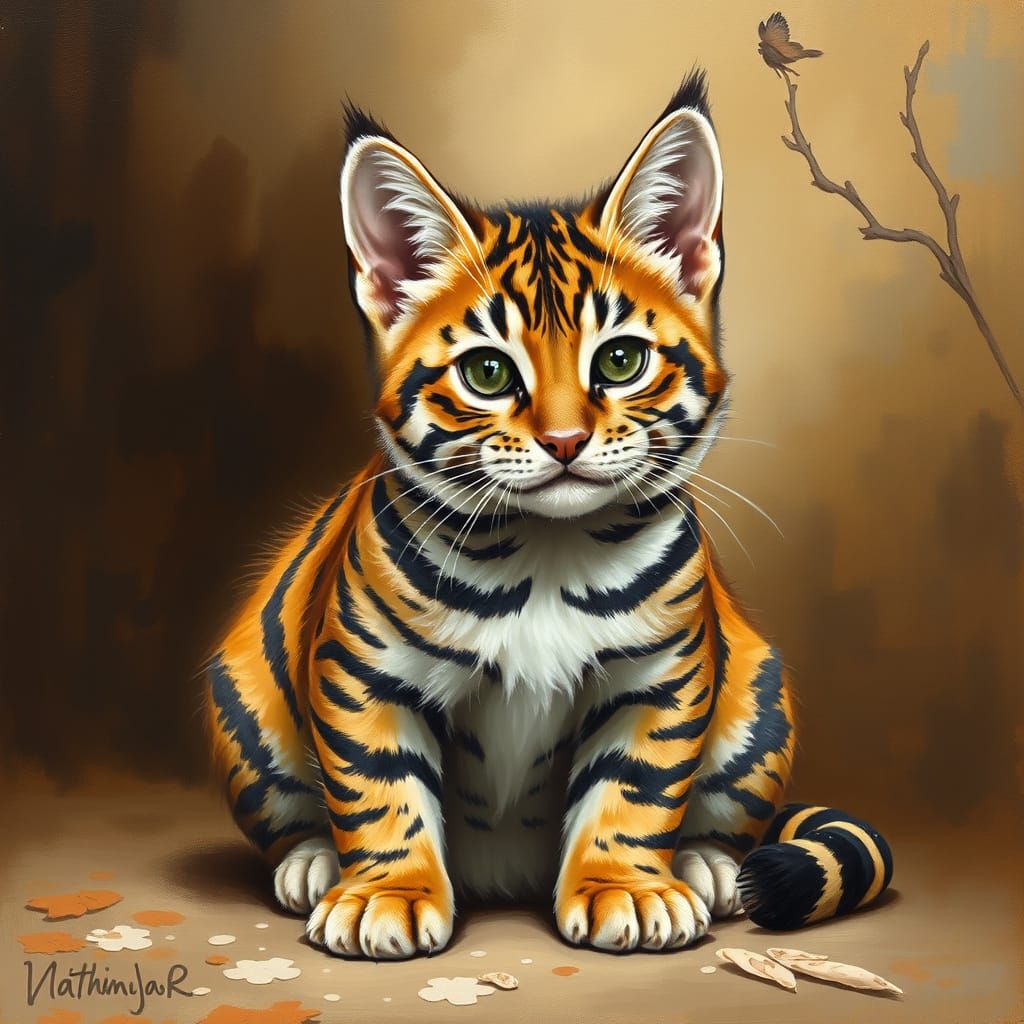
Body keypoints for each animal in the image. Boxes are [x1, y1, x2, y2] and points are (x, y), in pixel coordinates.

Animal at [206, 71, 892, 959]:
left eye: (621, 360)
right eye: (489, 373)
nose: (565, 440)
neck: (545, 548)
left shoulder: (661, 678)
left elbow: (635, 791)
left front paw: (625, 889)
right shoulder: (366, 676)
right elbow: (380, 789)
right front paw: (387, 896)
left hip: (758, 698)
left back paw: (705, 866)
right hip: (246, 697)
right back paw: (315, 863)